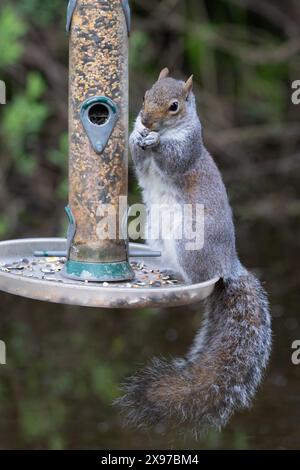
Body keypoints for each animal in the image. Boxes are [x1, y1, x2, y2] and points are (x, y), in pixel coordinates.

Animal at [117, 68, 272, 432]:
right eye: (145, 95)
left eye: (174, 106)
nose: (146, 120)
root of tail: (229, 265)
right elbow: (138, 161)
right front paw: (137, 136)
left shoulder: (187, 149)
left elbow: (173, 160)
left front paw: (155, 142)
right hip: (158, 238)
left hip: (191, 245)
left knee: (199, 276)